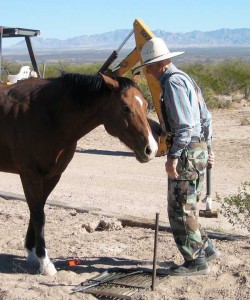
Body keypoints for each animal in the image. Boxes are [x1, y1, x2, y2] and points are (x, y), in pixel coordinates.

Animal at [0, 74, 157, 276]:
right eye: (125, 107)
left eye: (145, 105)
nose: (151, 149)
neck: (46, 114)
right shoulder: (30, 174)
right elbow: (38, 214)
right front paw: (45, 262)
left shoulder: (52, 175)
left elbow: (36, 210)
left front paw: (32, 252)